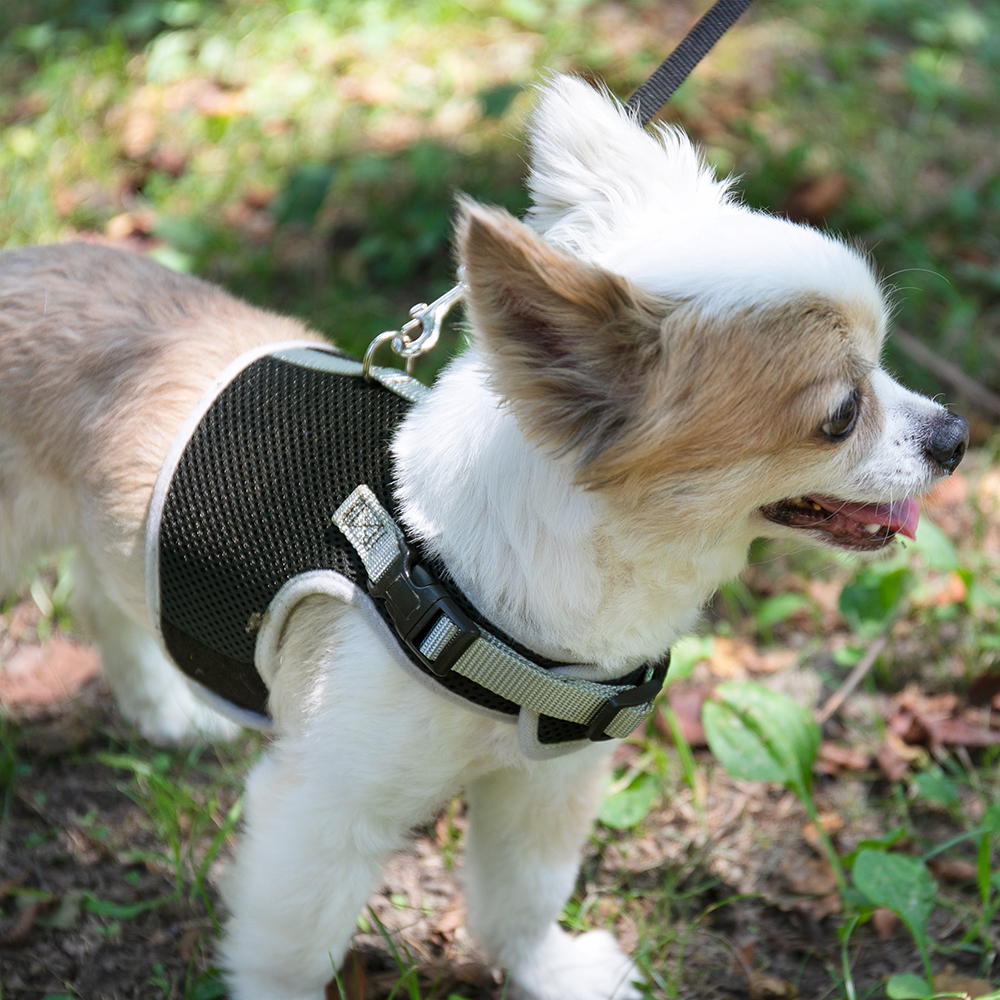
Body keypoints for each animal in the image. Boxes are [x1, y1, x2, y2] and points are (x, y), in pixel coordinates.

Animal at [0, 78, 968, 1000]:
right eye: (840, 415)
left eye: (884, 364)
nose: (956, 436)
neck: (452, 579)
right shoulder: (321, 812)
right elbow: (291, 950)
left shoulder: (544, 783)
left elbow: (521, 898)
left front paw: (547, 974)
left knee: (100, 596)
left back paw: (159, 706)